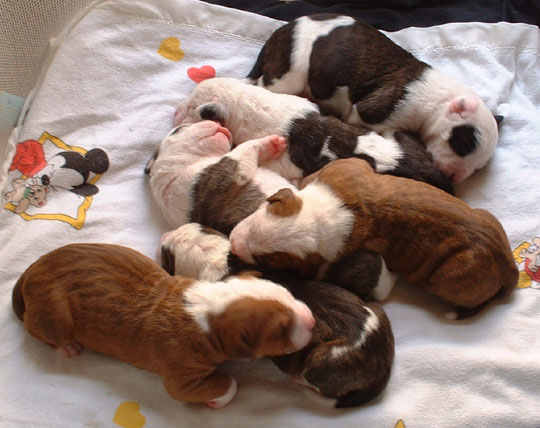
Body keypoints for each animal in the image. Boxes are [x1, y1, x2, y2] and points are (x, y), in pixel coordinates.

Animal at [12, 244, 314, 408]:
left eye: (287, 292)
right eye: (281, 328)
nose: (311, 321)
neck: (206, 308)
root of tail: (31, 271)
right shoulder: (181, 372)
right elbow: (228, 383)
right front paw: (217, 399)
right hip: (54, 314)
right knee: (33, 326)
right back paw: (67, 347)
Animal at [158, 224, 394, 408]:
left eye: (167, 257)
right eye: (198, 226)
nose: (164, 236)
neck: (217, 259)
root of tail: (383, 364)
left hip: (319, 362)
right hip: (377, 309)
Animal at [230, 158, 520, 318]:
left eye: (267, 260)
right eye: (259, 213)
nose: (233, 243)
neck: (321, 217)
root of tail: (509, 268)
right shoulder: (342, 169)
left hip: (450, 274)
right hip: (488, 216)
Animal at [247, 12, 504, 184]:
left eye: (478, 168)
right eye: (462, 145)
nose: (455, 178)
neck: (440, 103)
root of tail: (279, 34)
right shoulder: (374, 111)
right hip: (291, 70)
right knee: (266, 84)